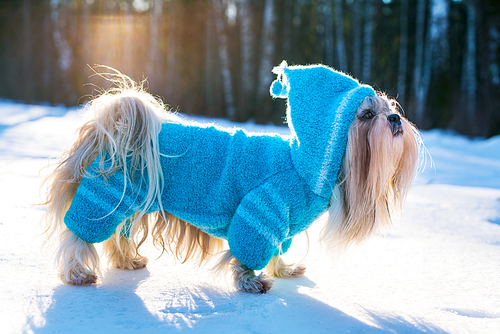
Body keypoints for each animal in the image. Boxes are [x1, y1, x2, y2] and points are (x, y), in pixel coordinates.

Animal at [43, 62, 420, 292]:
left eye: (390, 107)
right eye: (367, 115)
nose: (395, 120)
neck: (301, 167)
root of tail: (111, 129)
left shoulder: (279, 224)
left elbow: (277, 251)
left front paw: (283, 270)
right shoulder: (262, 209)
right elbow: (249, 251)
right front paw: (250, 282)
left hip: (130, 202)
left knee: (116, 238)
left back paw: (126, 260)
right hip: (104, 197)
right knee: (78, 236)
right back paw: (77, 273)